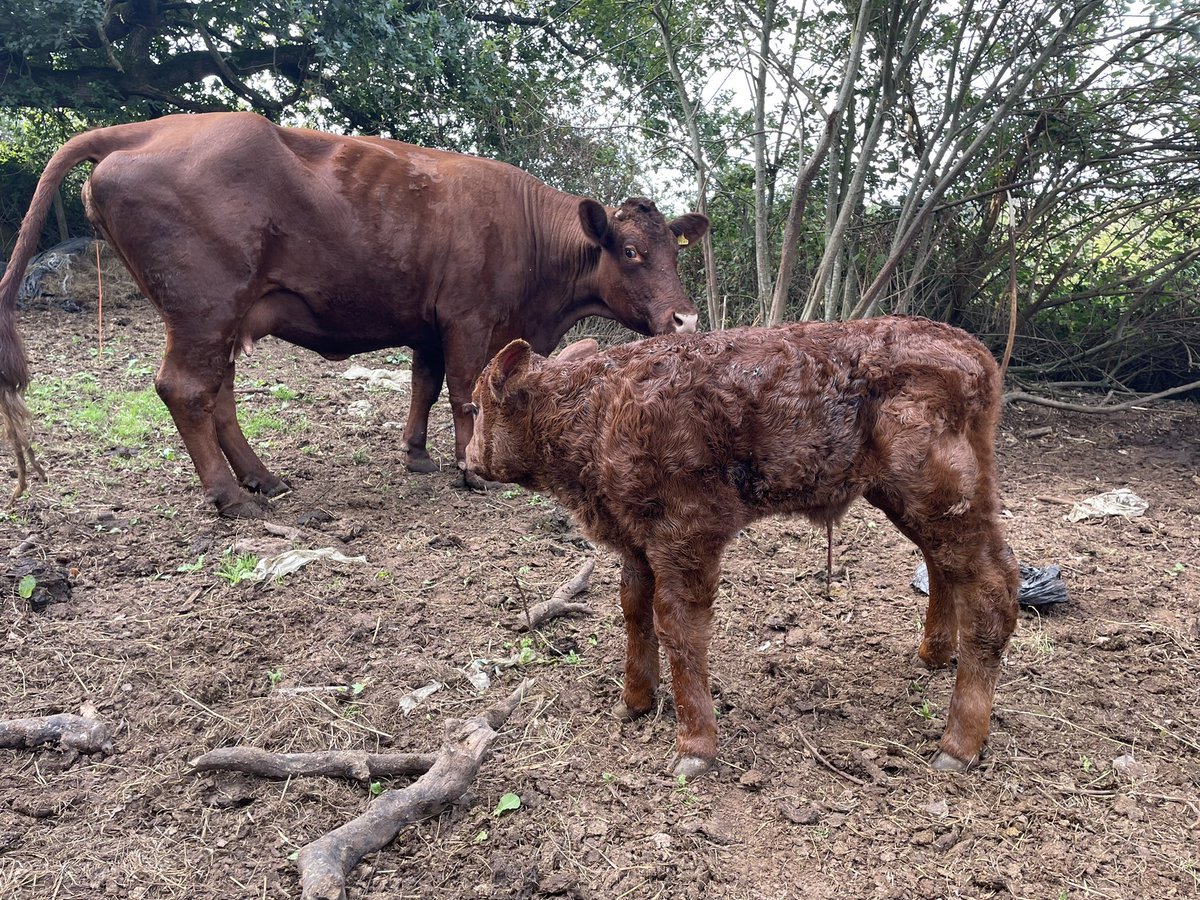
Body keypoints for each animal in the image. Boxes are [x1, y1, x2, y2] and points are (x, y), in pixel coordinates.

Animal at [0, 112, 708, 516]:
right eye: (632, 252)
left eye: (672, 251)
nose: (685, 321)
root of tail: (153, 127)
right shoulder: (468, 318)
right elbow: (464, 390)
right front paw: (471, 469)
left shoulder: (428, 324)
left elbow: (424, 385)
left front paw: (418, 457)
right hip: (203, 311)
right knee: (184, 389)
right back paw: (229, 497)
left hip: (221, 320)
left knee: (216, 395)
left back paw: (263, 480)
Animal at [466, 316, 1020, 778]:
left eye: (474, 406)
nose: (468, 457)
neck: (597, 412)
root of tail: (974, 352)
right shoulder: (636, 540)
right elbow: (633, 607)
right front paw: (635, 700)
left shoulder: (688, 531)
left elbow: (678, 628)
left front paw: (694, 747)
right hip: (907, 497)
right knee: (943, 565)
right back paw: (934, 654)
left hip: (940, 494)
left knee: (992, 583)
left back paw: (958, 745)